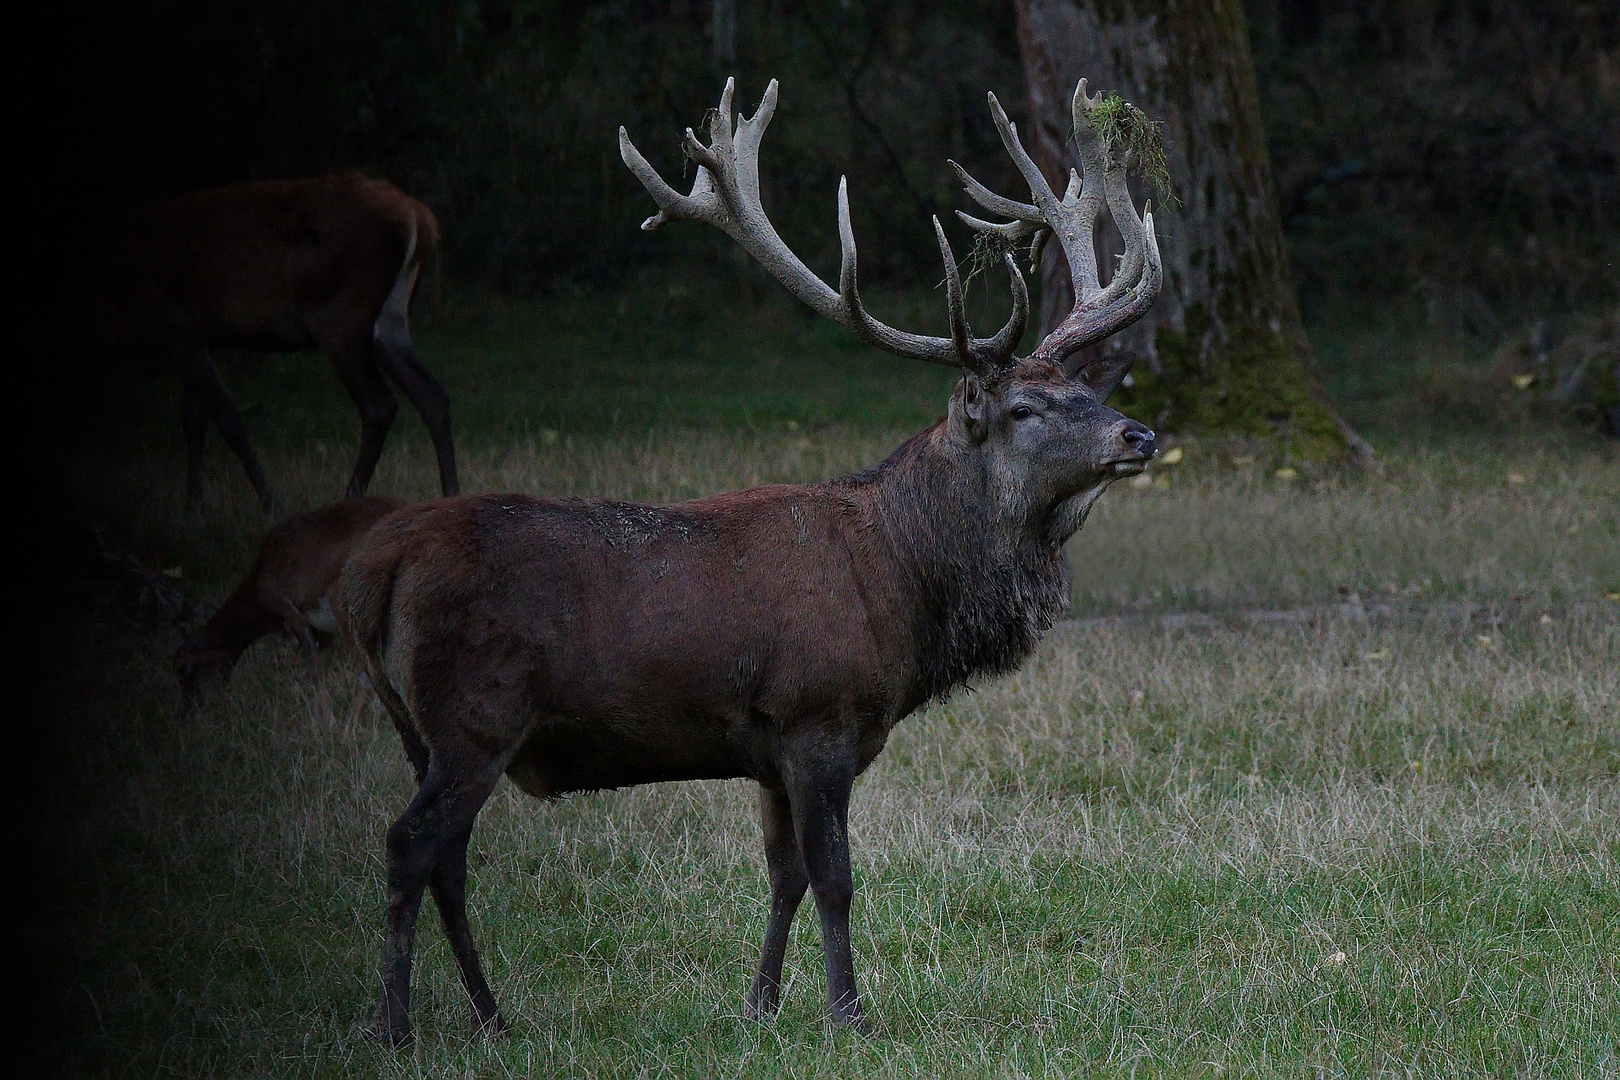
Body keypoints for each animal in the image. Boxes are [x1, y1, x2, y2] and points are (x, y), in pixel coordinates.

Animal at [87, 175, 460, 514]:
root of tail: (417, 216)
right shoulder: (200, 340)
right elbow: (194, 421)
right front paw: (193, 506)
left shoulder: (176, 332)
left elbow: (228, 420)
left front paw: (270, 503)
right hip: (390, 317)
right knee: (433, 395)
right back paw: (451, 495)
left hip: (339, 314)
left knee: (379, 404)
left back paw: (349, 500)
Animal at [174, 492, 405, 712]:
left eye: (182, 667)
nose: (188, 710)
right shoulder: (324, 630)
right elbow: (321, 666)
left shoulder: (288, 610)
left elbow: (315, 670)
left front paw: (328, 722)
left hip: (345, 602)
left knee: (367, 670)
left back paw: (351, 723)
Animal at [335, 78, 1159, 1049]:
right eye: (1027, 407)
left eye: (1085, 387)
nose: (1139, 434)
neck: (903, 588)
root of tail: (372, 571)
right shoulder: (818, 716)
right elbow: (835, 878)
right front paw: (849, 1014)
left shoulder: (768, 748)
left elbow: (785, 876)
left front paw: (759, 1005)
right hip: (475, 712)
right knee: (409, 845)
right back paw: (394, 1025)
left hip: (422, 726)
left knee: (448, 862)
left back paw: (494, 1017)